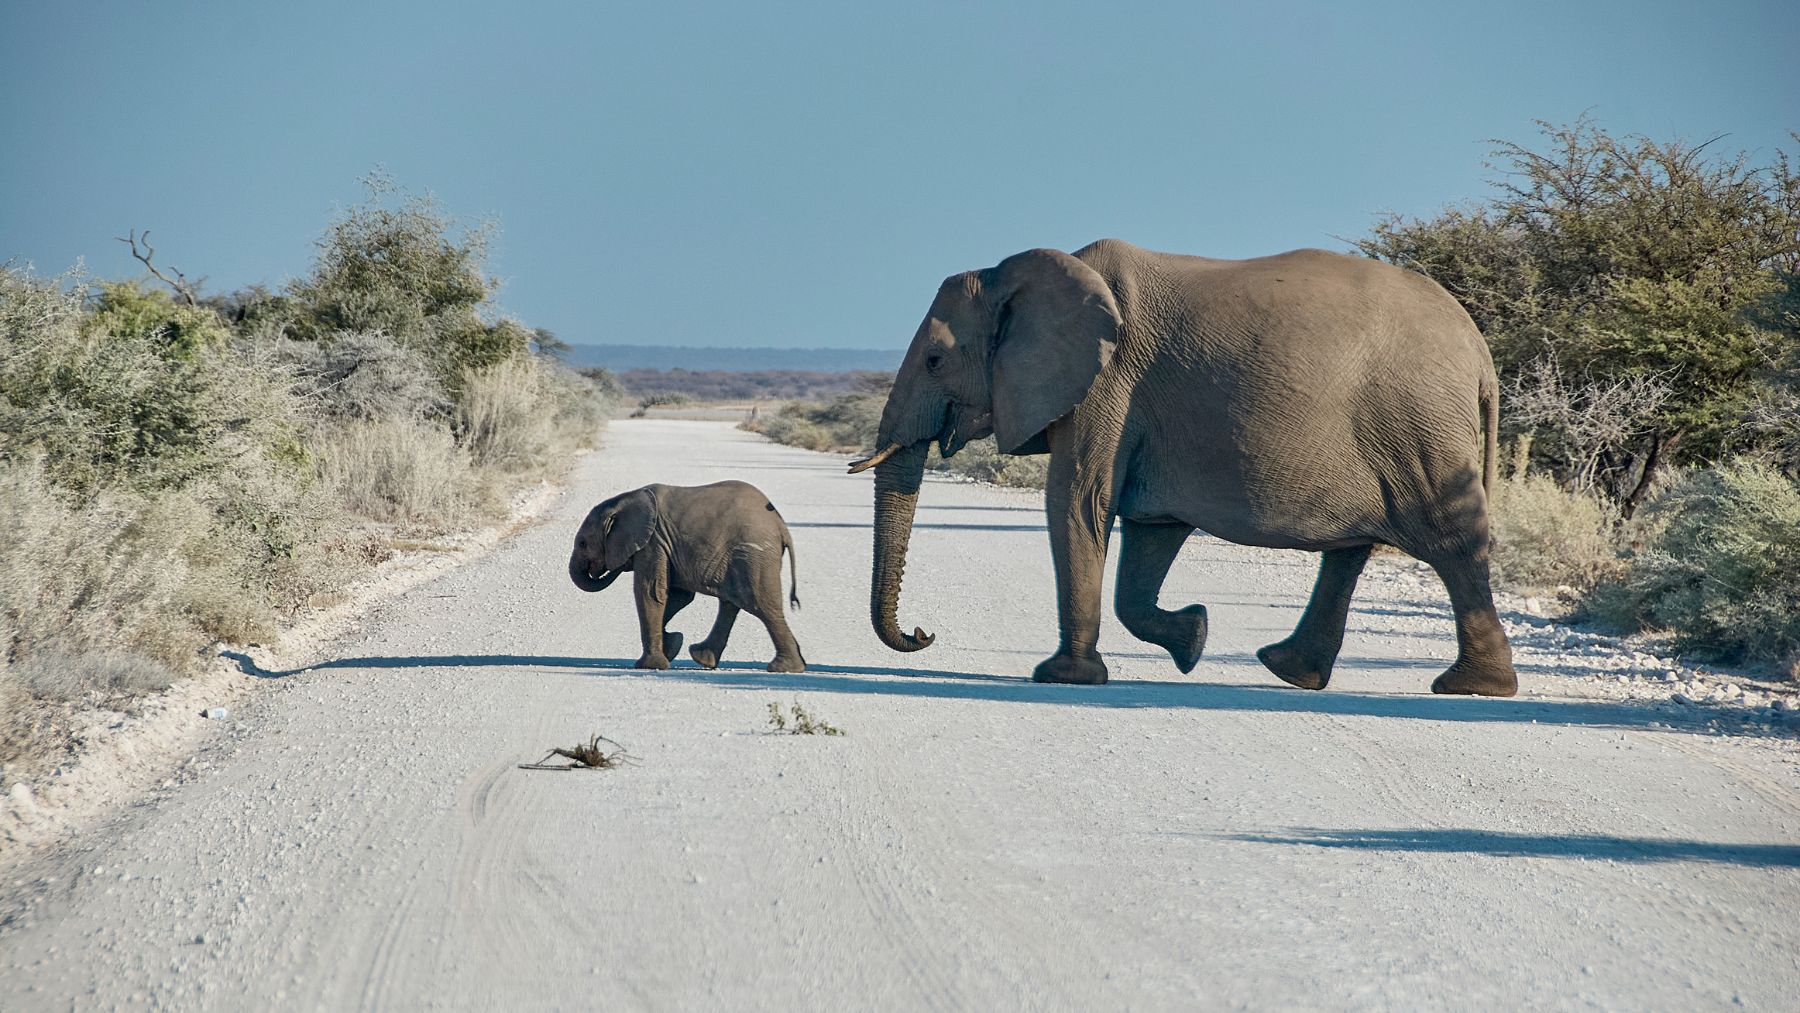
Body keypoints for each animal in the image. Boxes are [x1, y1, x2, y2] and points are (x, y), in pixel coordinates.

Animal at [568, 481, 805, 673]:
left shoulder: (653, 541)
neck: (625, 500)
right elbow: (678, 596)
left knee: (760, 604)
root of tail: (781, 526)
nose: (606, 568)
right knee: (732, 603)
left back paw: (783, 668)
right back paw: (704, 659)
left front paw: (650, 665)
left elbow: (650, 591)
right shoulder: (663, 544)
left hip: (753, 554)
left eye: (582, 543)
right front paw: (672, 644)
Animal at [851, 239, 1516, 697]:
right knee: (1351, 551)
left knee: (1452, 544)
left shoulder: (1108, 385)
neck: (1015, 276)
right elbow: (1151, 532)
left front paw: (1061, 678)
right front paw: (1193, 638)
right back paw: (1290, 671)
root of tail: (1480, 351)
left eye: (935, 361)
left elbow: (1078, 501)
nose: (922, 635)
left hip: (1417, 426)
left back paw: (1470, 688)